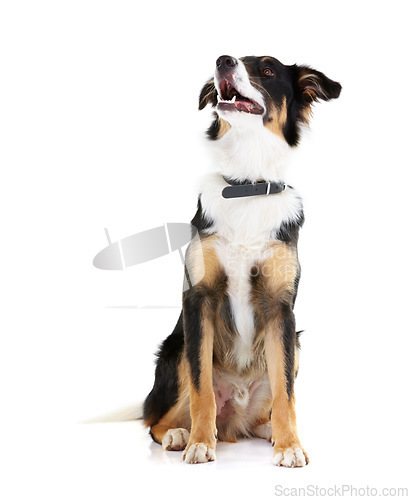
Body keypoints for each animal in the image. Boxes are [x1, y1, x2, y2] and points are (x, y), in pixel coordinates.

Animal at [142, 56, 340, 466]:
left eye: (266, 70)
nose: (223, 61)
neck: (247, 184)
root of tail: (235, 421)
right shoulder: (198, 300)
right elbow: (201, 388)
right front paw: (201, 443)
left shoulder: (281, 309)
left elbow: (286, 393)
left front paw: (290, 445)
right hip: (176, 349)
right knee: (155, 420)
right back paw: (179, 435)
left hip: (296, 344)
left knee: (271, 406)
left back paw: (269, 431)